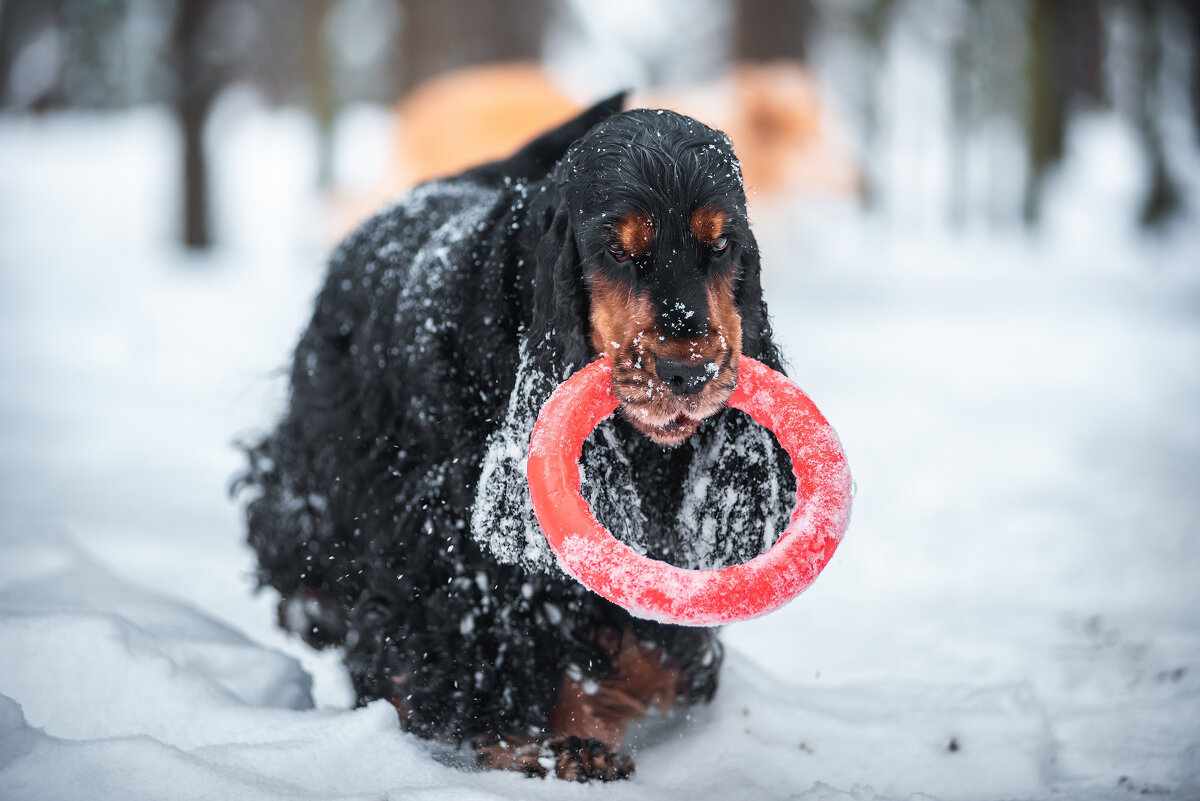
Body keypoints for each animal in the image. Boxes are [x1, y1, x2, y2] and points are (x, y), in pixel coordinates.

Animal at [237, 95, 792, 781]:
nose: (688, 373)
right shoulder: (453, 541)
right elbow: (496, 632)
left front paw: (591, 724)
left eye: (720, 246)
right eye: (615, 251)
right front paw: (527, 740)